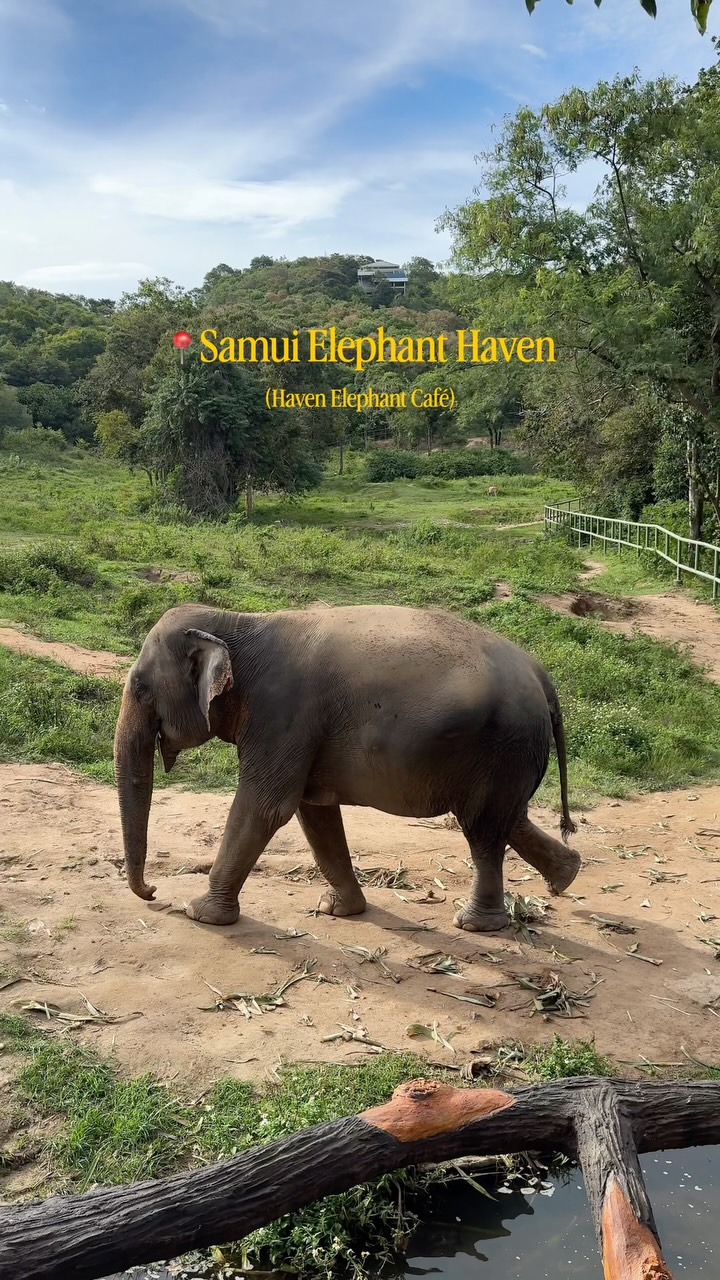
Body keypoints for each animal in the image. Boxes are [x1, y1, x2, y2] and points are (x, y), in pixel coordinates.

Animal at [114, 602, 581, 932]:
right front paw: (338, 909)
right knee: (506, 818)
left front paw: (200, 914)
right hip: (509, 754)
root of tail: (542, 676)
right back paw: (566, 875)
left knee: (483, 828)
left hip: (503, 744)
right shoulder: (300, 733)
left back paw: (475, 924)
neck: (236, 621)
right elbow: (313, 811)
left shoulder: (282, 716)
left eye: (140, 687)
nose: (152, 892)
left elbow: (265, 807)